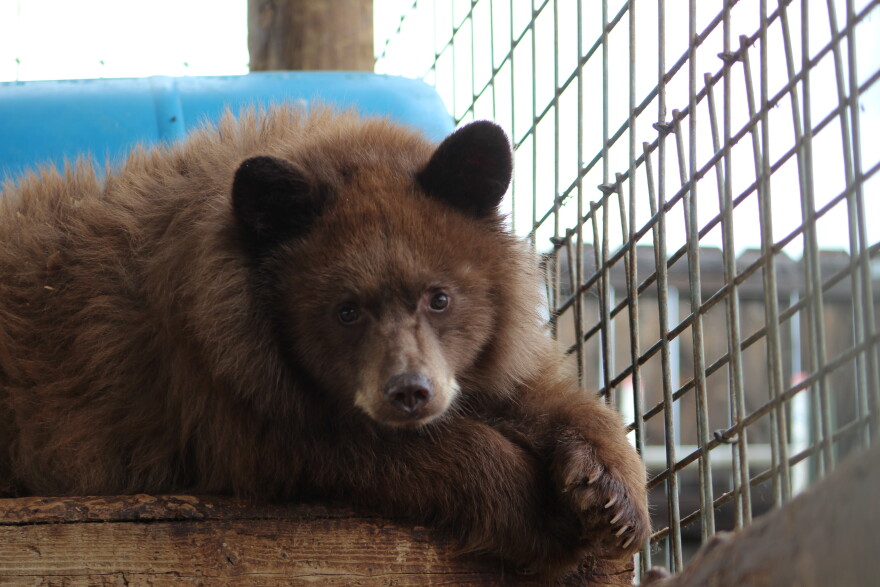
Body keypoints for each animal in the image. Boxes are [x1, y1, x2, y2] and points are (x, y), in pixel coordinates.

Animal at [0, 105, 649, 579]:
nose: (409, 392)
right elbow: (362, 450)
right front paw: (546, 519)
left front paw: (610, 494)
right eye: (346, 310)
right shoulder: (224, 391)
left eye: (439, 297)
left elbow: (529, 390)